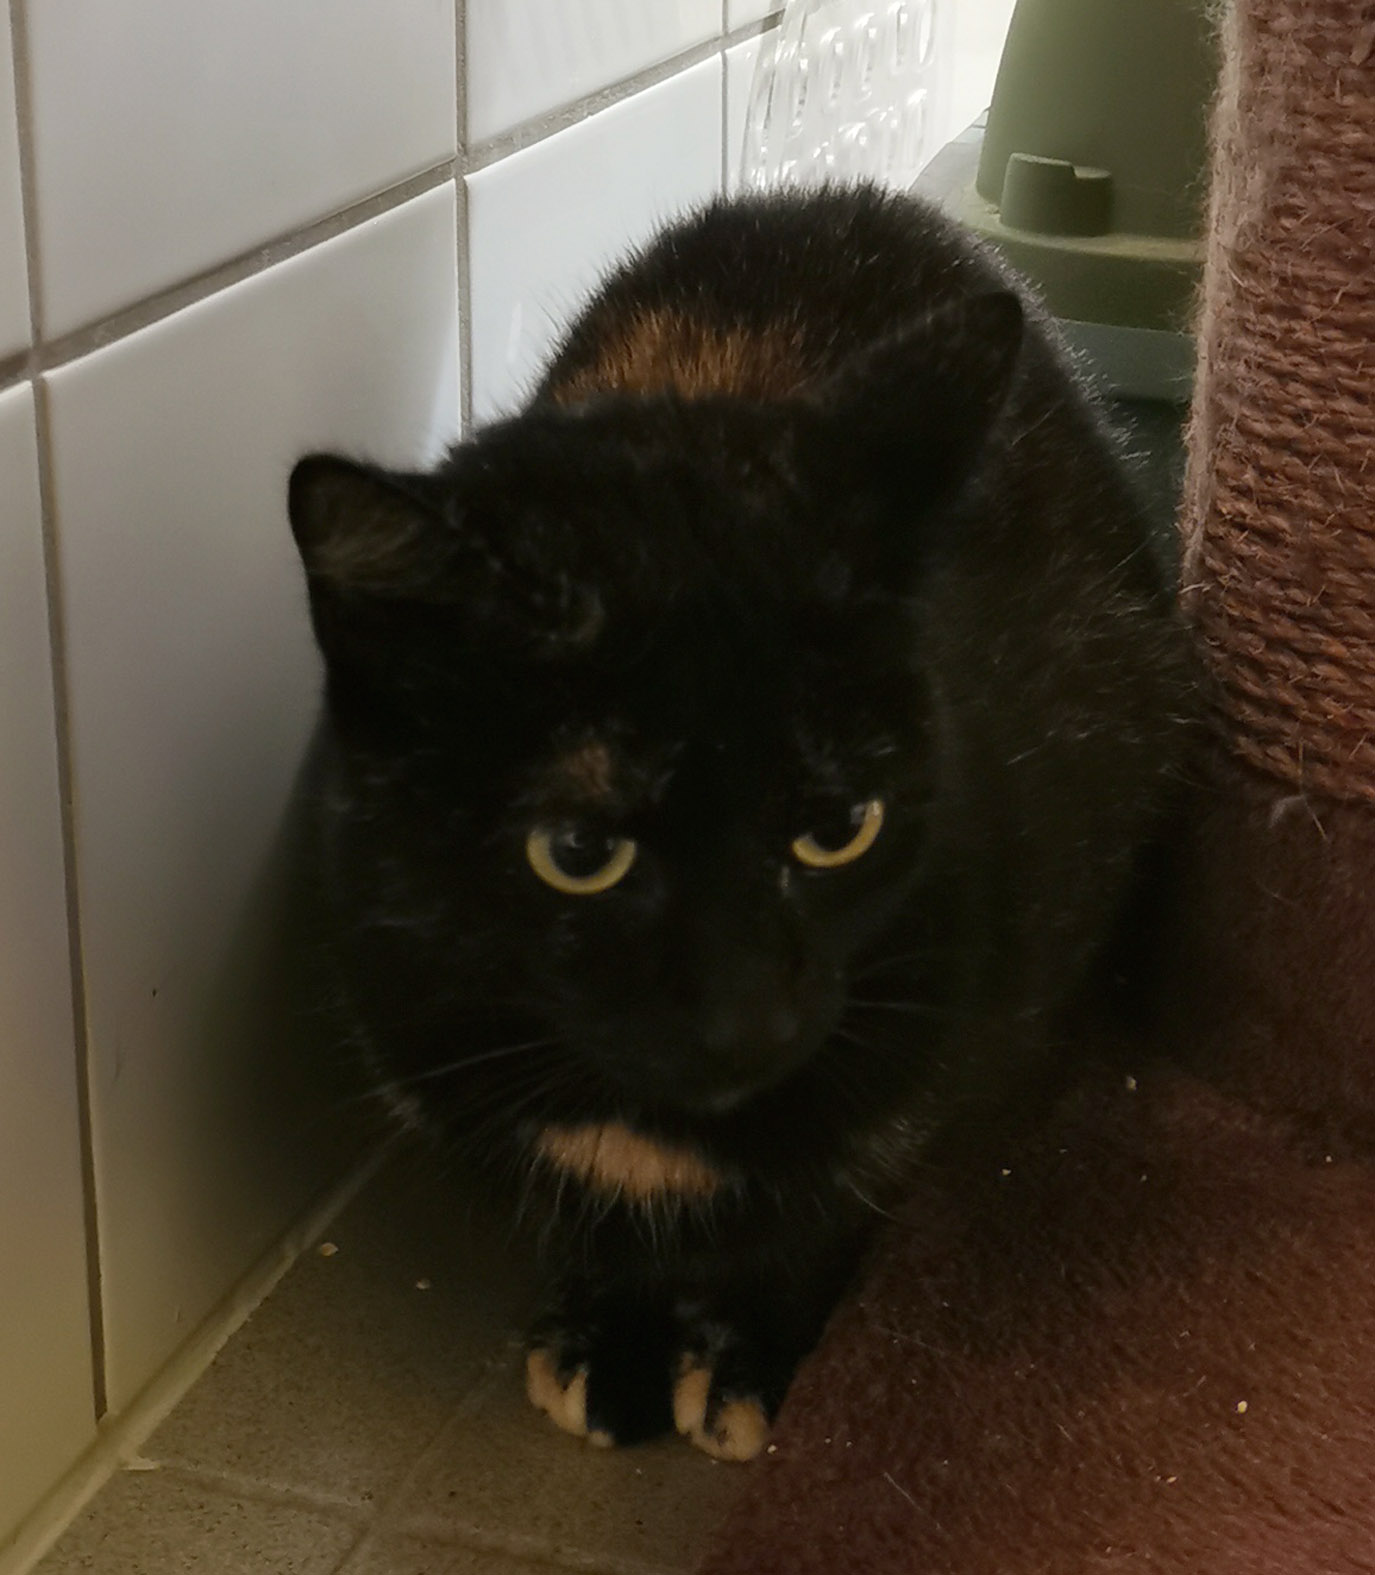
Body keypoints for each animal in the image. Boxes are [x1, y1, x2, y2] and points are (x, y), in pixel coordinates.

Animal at [287, 183, 1194, 1462]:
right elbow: (596, 1227)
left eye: (842, 826)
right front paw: (609, 1337)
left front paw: (753, 1354)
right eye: (578, 852)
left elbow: (836, 1200)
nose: (746, 1020)